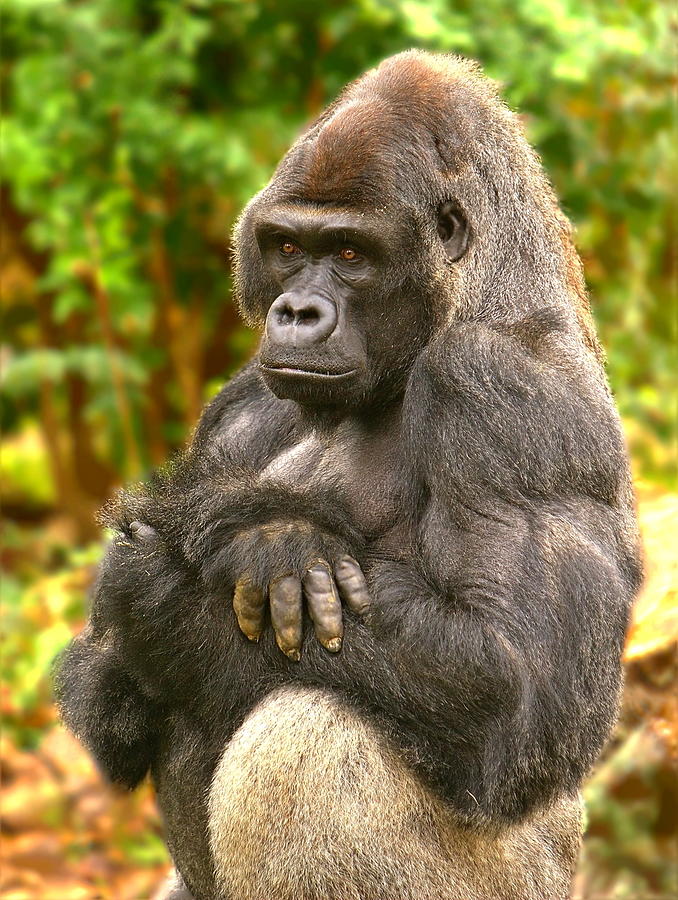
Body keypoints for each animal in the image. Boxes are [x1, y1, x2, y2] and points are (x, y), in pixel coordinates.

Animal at [57, 51, 644, 900]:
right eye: (288, 248)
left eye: (350, 255)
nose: (297, 313)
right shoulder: (237, 401)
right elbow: (100, 686)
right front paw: (252, 533)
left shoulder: (506, 390)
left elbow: (519, 690)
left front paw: (209, 565)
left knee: (306, 735)